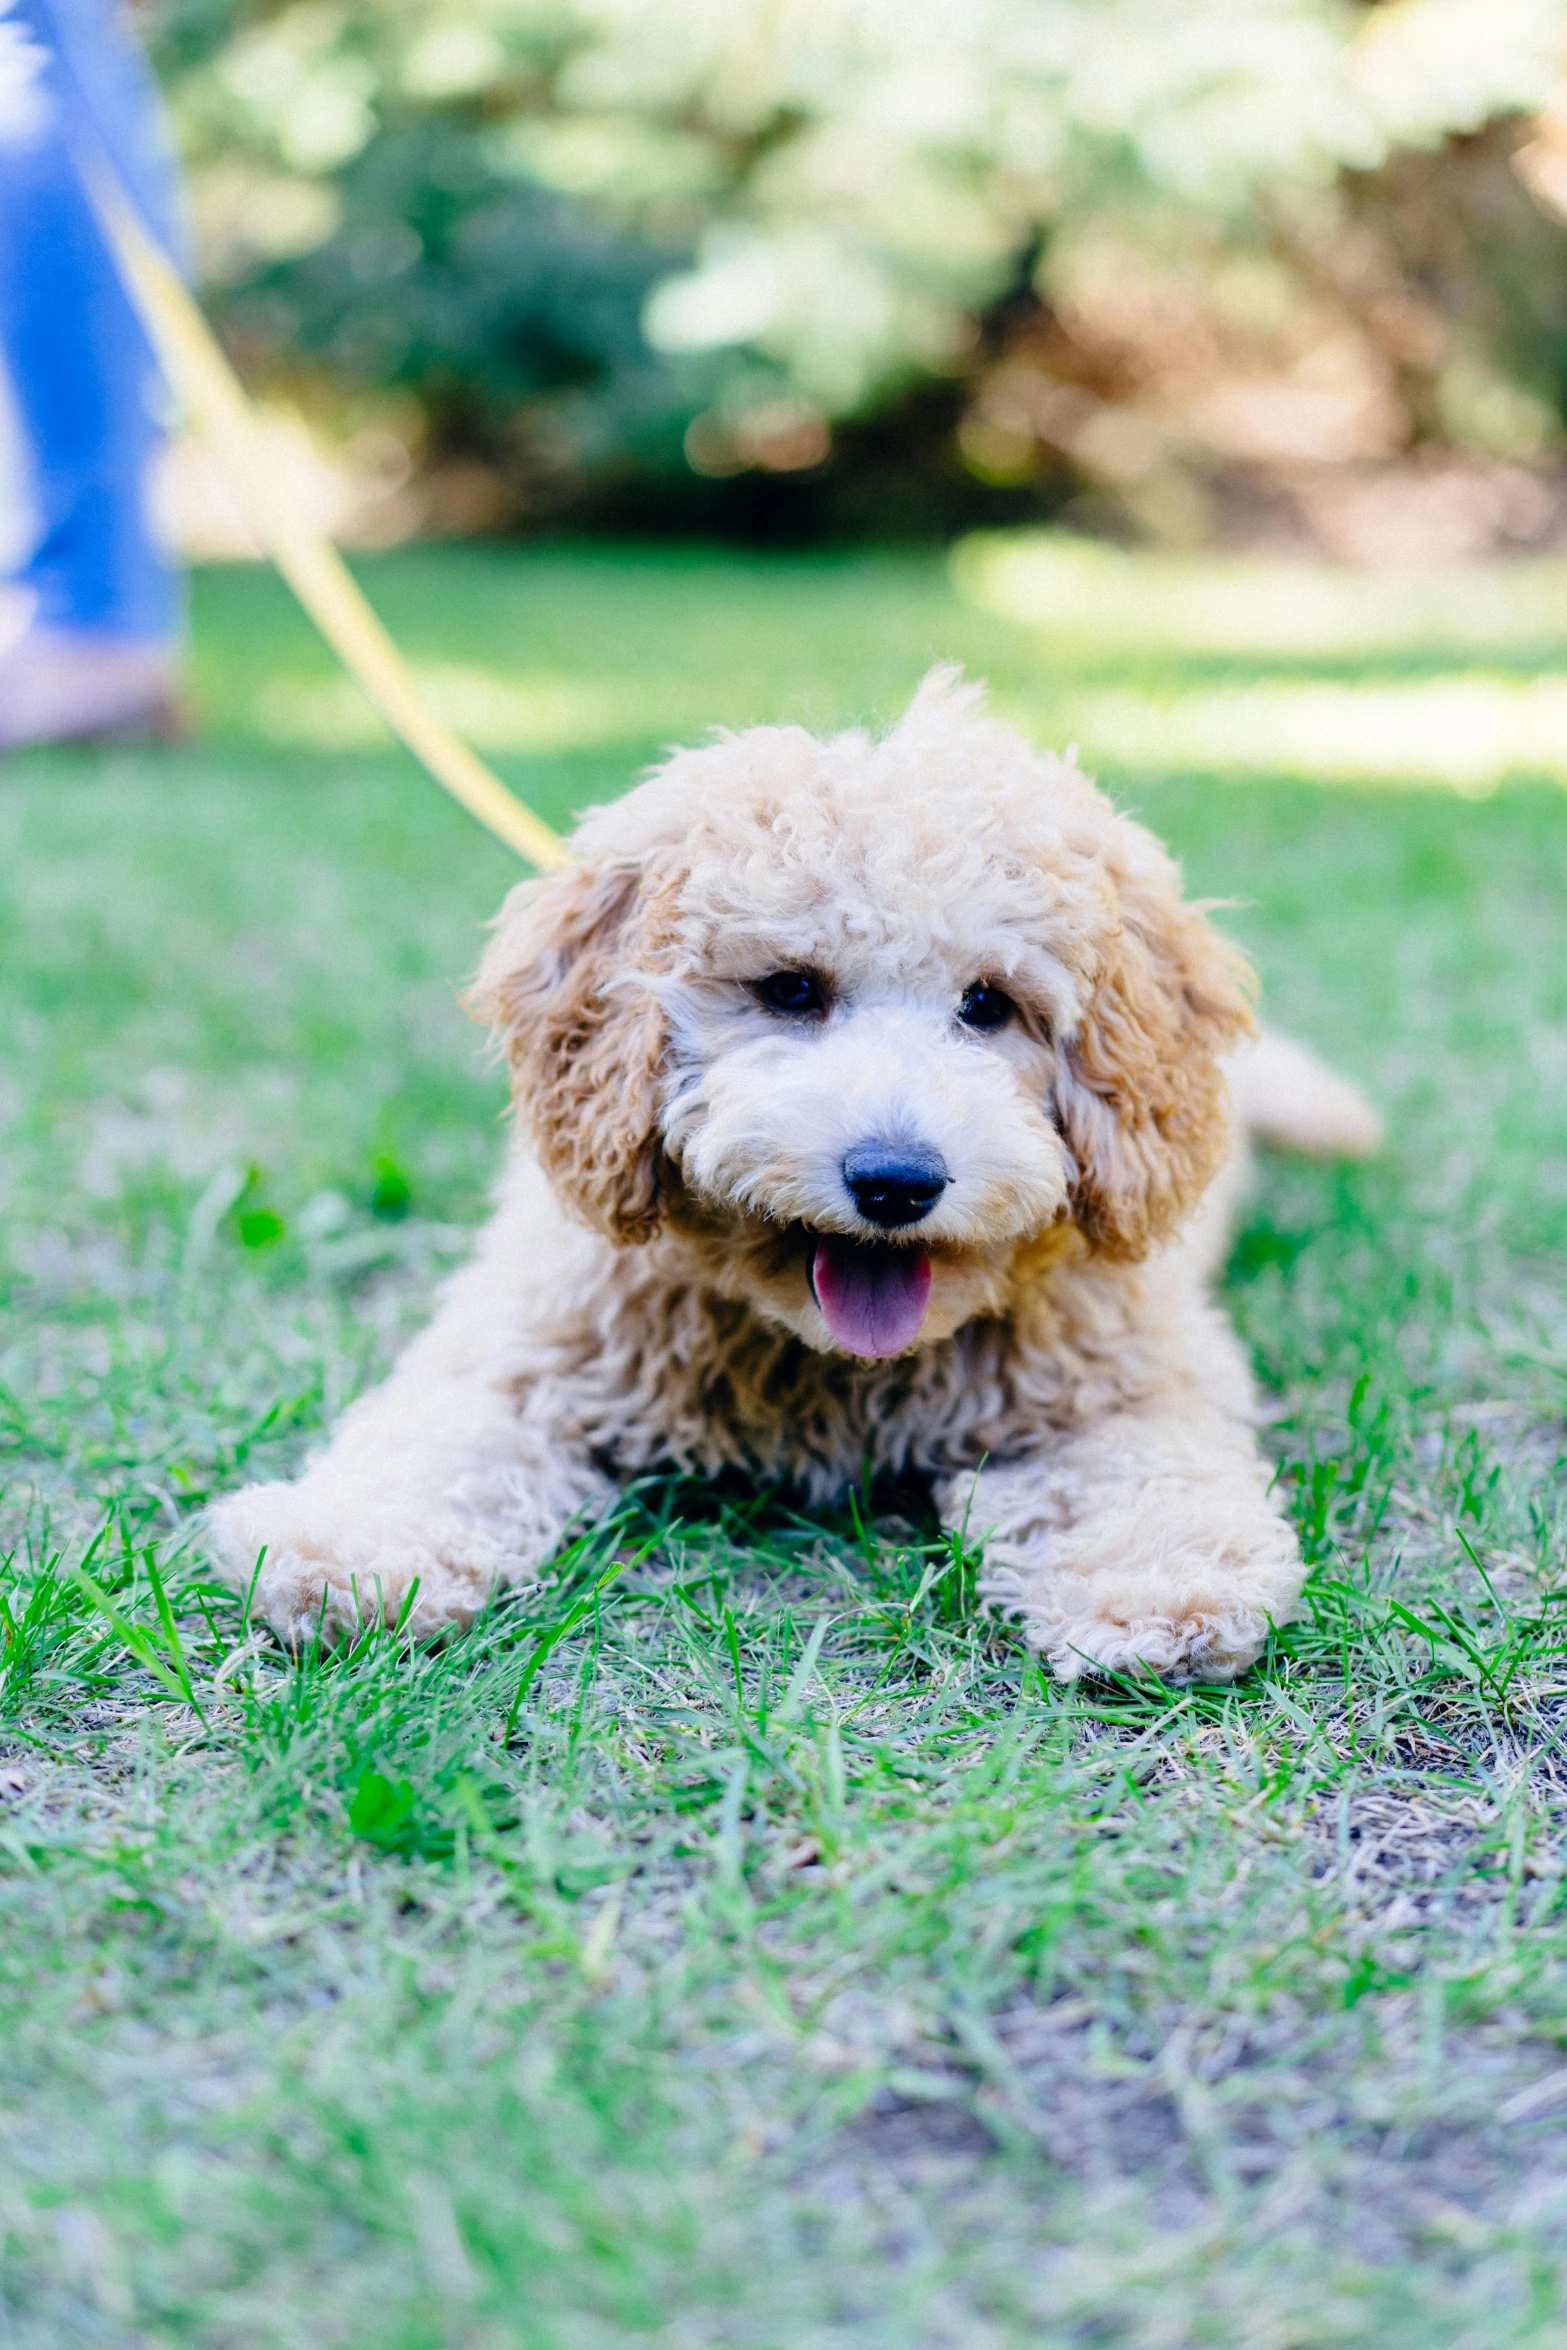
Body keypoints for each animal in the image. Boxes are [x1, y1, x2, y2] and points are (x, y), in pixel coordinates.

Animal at [205, 672, 1372, 1682]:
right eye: (790, 989)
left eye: (988, 1004)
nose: (895, 1180)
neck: (830, 1367)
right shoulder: (525, 1346)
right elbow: (439, 1439)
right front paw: (350, 1545)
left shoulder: (1126, 1368)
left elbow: (1145, 1466)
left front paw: (1161, 1580)